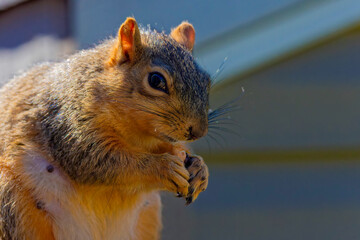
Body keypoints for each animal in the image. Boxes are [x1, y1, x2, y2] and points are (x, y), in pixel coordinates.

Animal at [0, 17, 210, 240]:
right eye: (156, 80)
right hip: (14, 203)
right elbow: (98, 161)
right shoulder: (68, 126)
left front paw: (199, 169)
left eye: (206, 80)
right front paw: (163, 167)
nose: (198, 132)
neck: (139, 136)